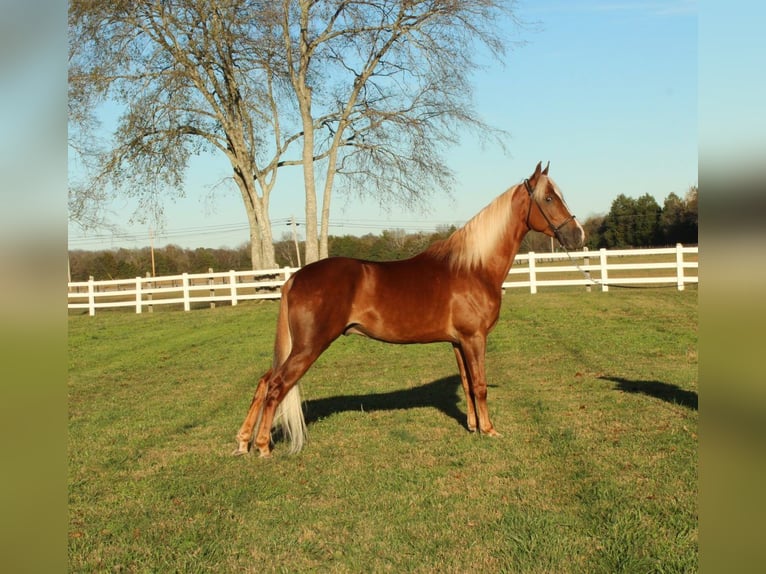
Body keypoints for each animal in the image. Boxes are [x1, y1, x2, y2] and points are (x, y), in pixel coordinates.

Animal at [234, 162, 584, 460]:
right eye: (549, 198)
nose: (577, 235)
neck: (474, 266)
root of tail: (294, 278)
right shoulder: (475, 338)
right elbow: (481, 386)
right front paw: (489, 430)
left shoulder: (458, 342)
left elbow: (468, 384)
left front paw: (472, 427)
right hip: (308, 347)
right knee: (276, 386)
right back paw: (263, 446)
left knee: (264, 382)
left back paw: (243, 442)